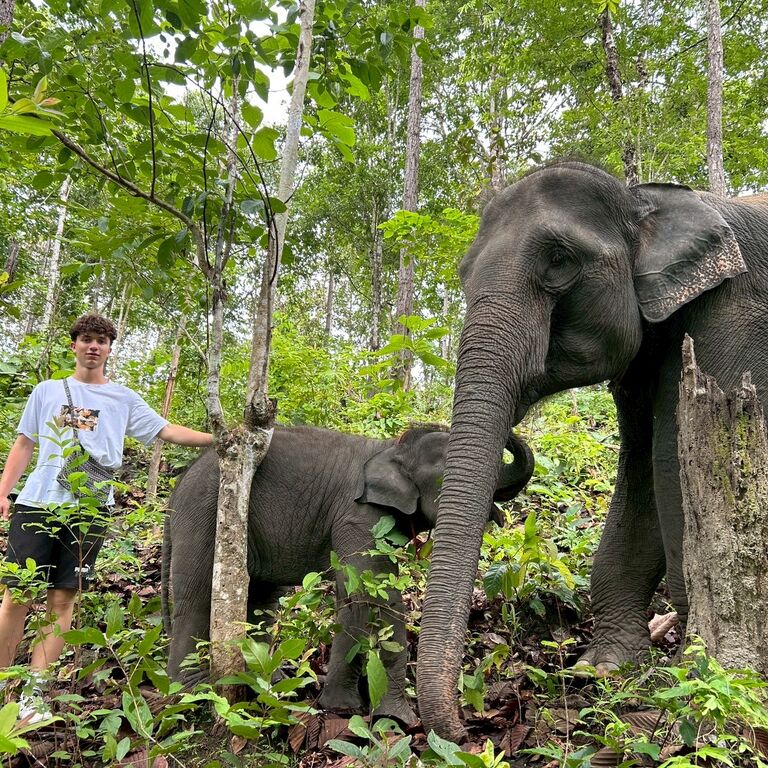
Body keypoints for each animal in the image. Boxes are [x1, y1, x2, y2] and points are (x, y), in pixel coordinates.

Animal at [161, 423, 534, 725]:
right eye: (446, 480)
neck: (391, 447)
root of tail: (176, 490)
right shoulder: (357, 515)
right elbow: (374, 597)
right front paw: (391, 718)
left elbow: (353, 597)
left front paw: (342, 707)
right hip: (206, 513)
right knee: (197, 600)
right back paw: (191, 697)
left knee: (260, 602)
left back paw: (271, 682)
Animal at [416, 161, 768, 740]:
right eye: (464, 274)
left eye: (559, 261)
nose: (470, 727)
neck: (644, 200)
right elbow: (642, 466)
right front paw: (602, 668)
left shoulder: (732, 323)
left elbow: (672, 466)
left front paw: (692, 679)